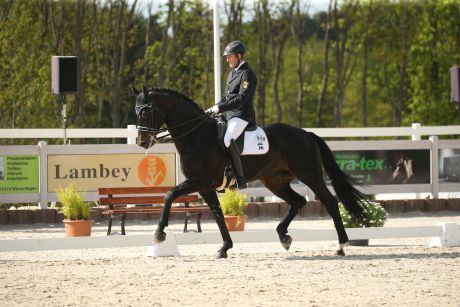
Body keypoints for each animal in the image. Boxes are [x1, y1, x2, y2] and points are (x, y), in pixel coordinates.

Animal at [131, 85, 368, 258]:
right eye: (136, 112)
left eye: (146, 111)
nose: (142, 142)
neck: (196, 136)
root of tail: (306, 134)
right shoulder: (205, 187)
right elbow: (217, 214)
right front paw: (224, 248)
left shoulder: (199, 181)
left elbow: (169, 195)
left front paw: (159, 234)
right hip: (274, 181)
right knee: (298, 201)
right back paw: (284, 237)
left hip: (309, 175)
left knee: (330, 201)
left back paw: (341, 245)